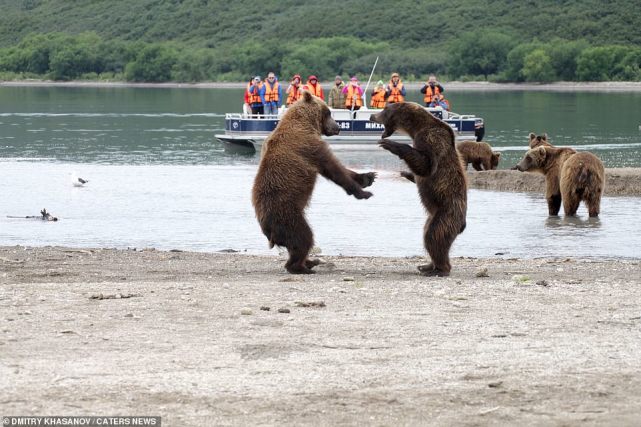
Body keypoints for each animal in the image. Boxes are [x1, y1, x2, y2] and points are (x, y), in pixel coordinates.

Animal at [252, 92, 378, 276]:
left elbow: (339, 169)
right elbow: (333, 168)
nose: (338, 127)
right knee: (303, 238)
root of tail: (269, 231)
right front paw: (363, 193)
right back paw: (302, 267)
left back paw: (311, 261)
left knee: (295, 245)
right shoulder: (308, 145)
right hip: (287, 215)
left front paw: (368, 177)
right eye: (329, 113)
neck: (307, 122)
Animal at [368, 103, 468, 278]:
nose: (371, 116)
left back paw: (439, 269)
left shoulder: (432, 139)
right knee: (428, 235)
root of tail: (462, 223)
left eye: (384, 110)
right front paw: (405, 173)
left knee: (434, 236)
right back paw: (426, 266)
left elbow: (426, 165)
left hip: (446, 213)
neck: (416, 127)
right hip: (432, 216)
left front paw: (391, 144)